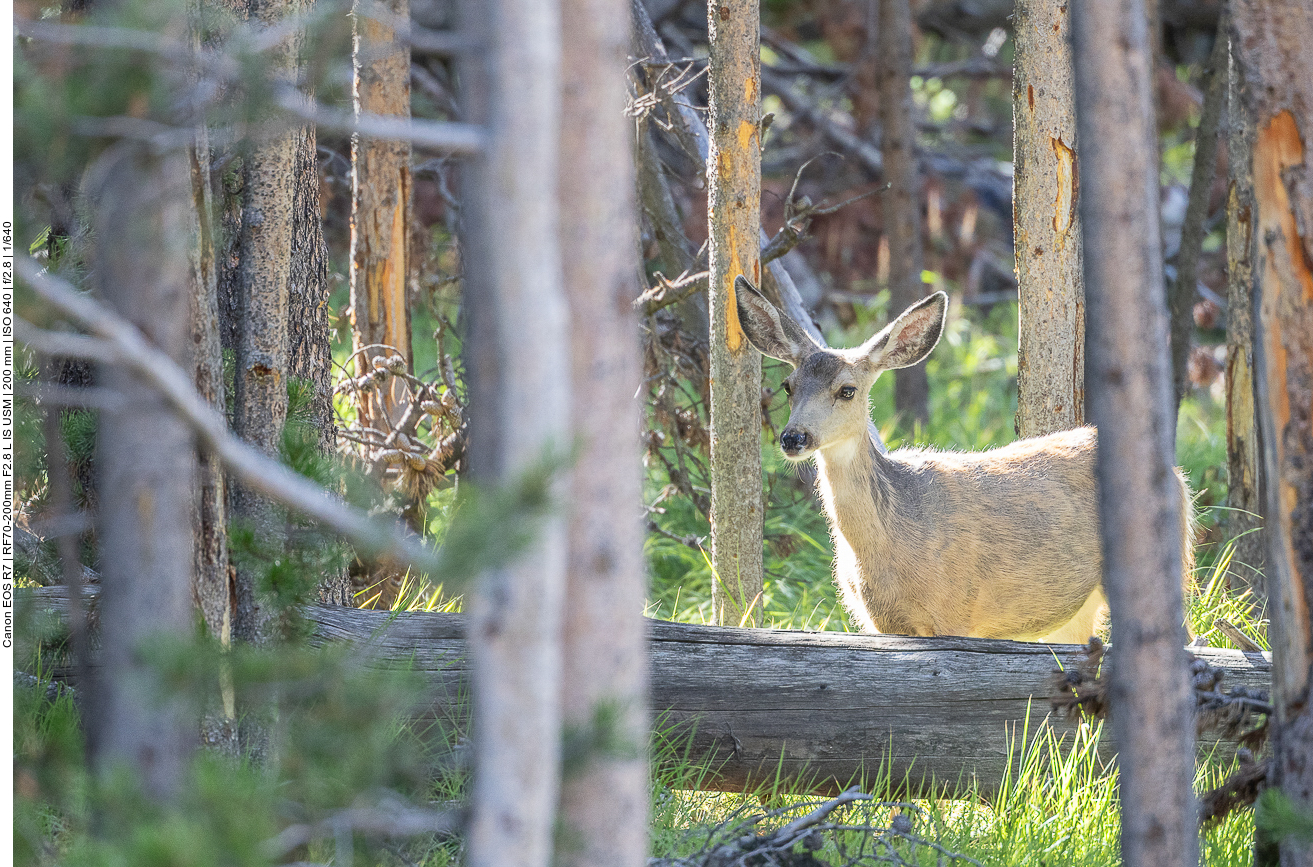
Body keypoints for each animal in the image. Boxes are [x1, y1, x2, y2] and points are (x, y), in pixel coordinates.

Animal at [735, 277, 1197, 643]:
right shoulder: (879, 622)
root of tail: (1178, 475)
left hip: (1170, 561)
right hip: (1074, 608)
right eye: (788, 385)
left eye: (847, 390)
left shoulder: (955, 609)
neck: (893, 538)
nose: (793, 437)